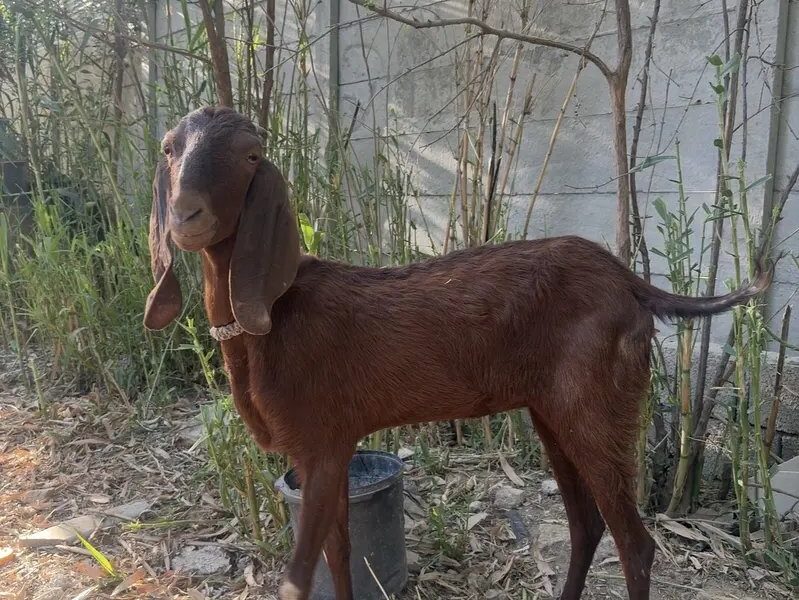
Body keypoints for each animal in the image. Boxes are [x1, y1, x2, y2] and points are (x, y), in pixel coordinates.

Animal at [144, 106, 772, 600]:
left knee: (635, 545)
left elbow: (299, 579)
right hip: (553, 412)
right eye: (169, 148)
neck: (274, 320)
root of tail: (633, 284)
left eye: (251, 156)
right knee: (586, 526)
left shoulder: (322, 444)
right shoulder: (329, 451)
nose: (186, 215)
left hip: (599, 408)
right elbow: (339, 562)